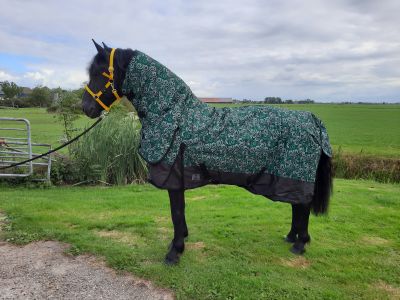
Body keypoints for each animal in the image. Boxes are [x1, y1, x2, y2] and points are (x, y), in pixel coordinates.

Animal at [81, 40, 332, 264]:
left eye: (99, 72)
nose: (86, 108)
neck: (174, 116)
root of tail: (312, 121)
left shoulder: (174, 178)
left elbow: (176, 213)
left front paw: (174, 252)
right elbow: (179, 214)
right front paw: (180, 241)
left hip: (296, 174)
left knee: (302, 205)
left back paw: (300, 244)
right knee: (297, 205)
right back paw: (291, 237)